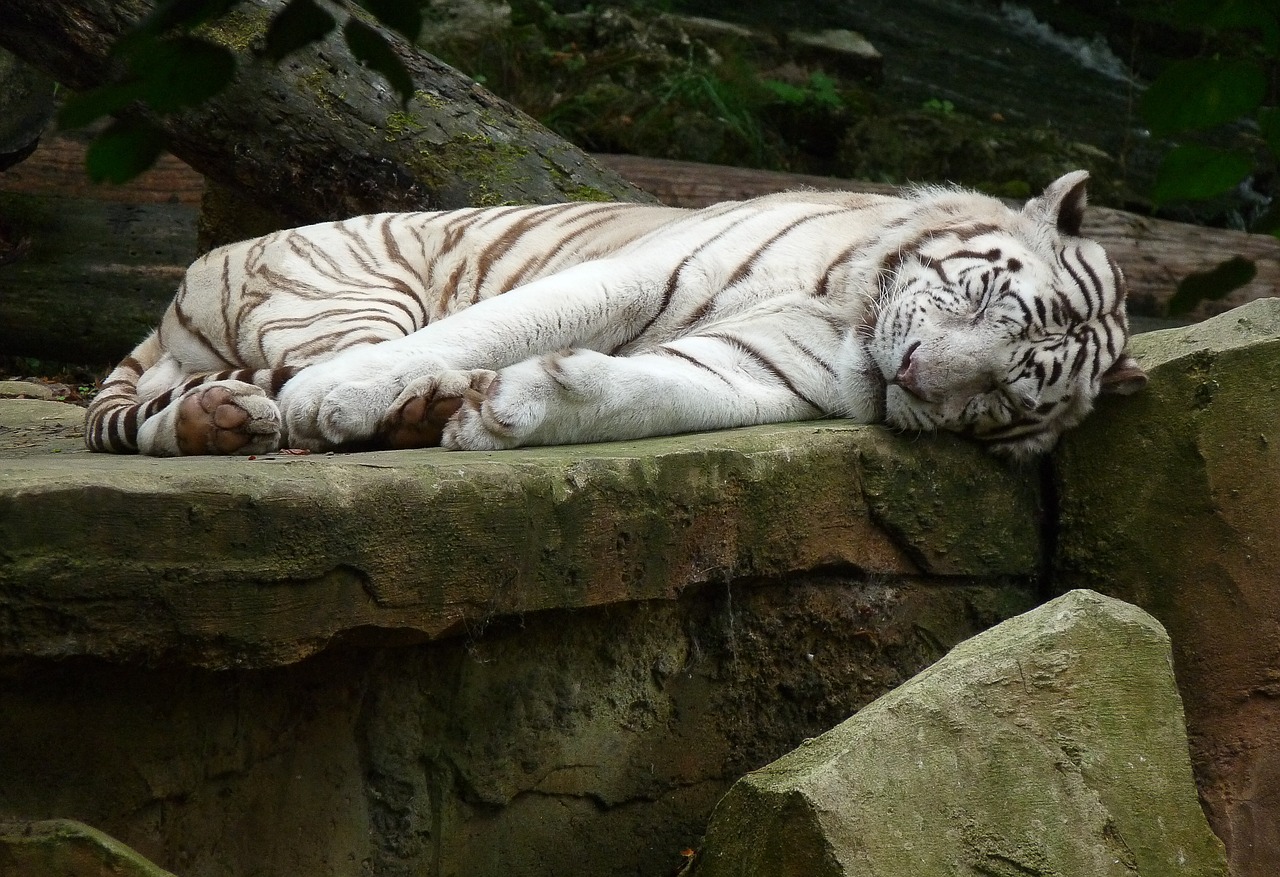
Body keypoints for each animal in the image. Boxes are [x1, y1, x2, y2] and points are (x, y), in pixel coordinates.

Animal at [85, 168, 1146, 460]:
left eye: (1004, 395)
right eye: (980, 295)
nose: (918, 374)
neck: (847, 309)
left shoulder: (758, 372)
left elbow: (655, 392)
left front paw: (509, 413)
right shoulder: (645, 268)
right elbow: (495, 325)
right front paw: (340, 398)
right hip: (352, 287)